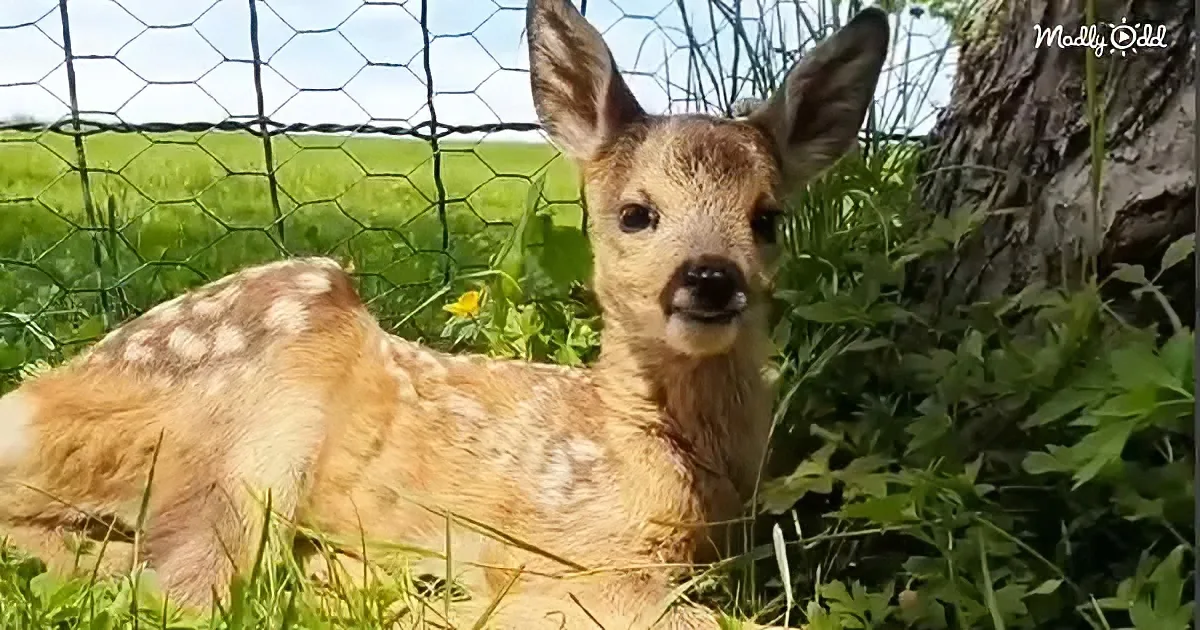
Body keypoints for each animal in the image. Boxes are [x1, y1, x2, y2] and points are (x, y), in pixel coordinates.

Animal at [0, 1, 888, 627]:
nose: (710, 278)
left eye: (767, 218)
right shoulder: (569, 553)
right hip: (255, 412)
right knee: (191, 588)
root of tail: (29, 401)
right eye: (637, 214)